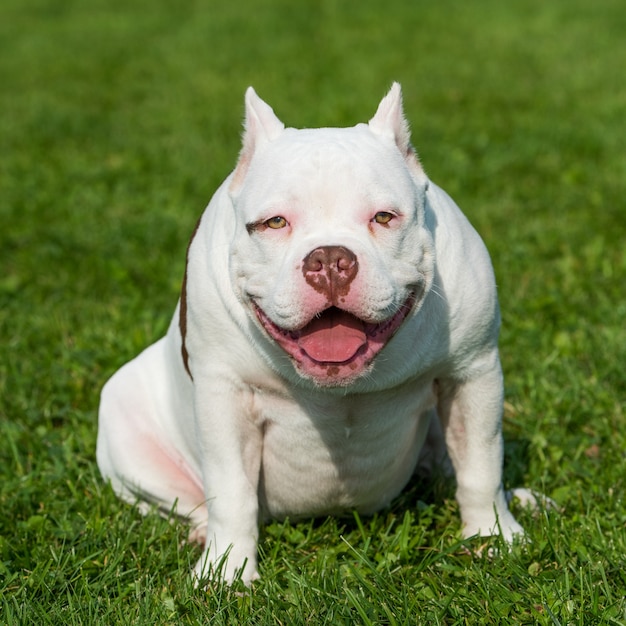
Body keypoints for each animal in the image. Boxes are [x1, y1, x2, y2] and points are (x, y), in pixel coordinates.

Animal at [97, 83, 524, 580]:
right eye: (275, 223)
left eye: (384, 217)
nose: (330, 259)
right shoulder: (225, 396)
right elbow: (231, 490)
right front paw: (227, 570)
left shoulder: (472, 373)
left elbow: (481, 466)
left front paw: (493, 536)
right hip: (122, 418)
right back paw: (202, 534)